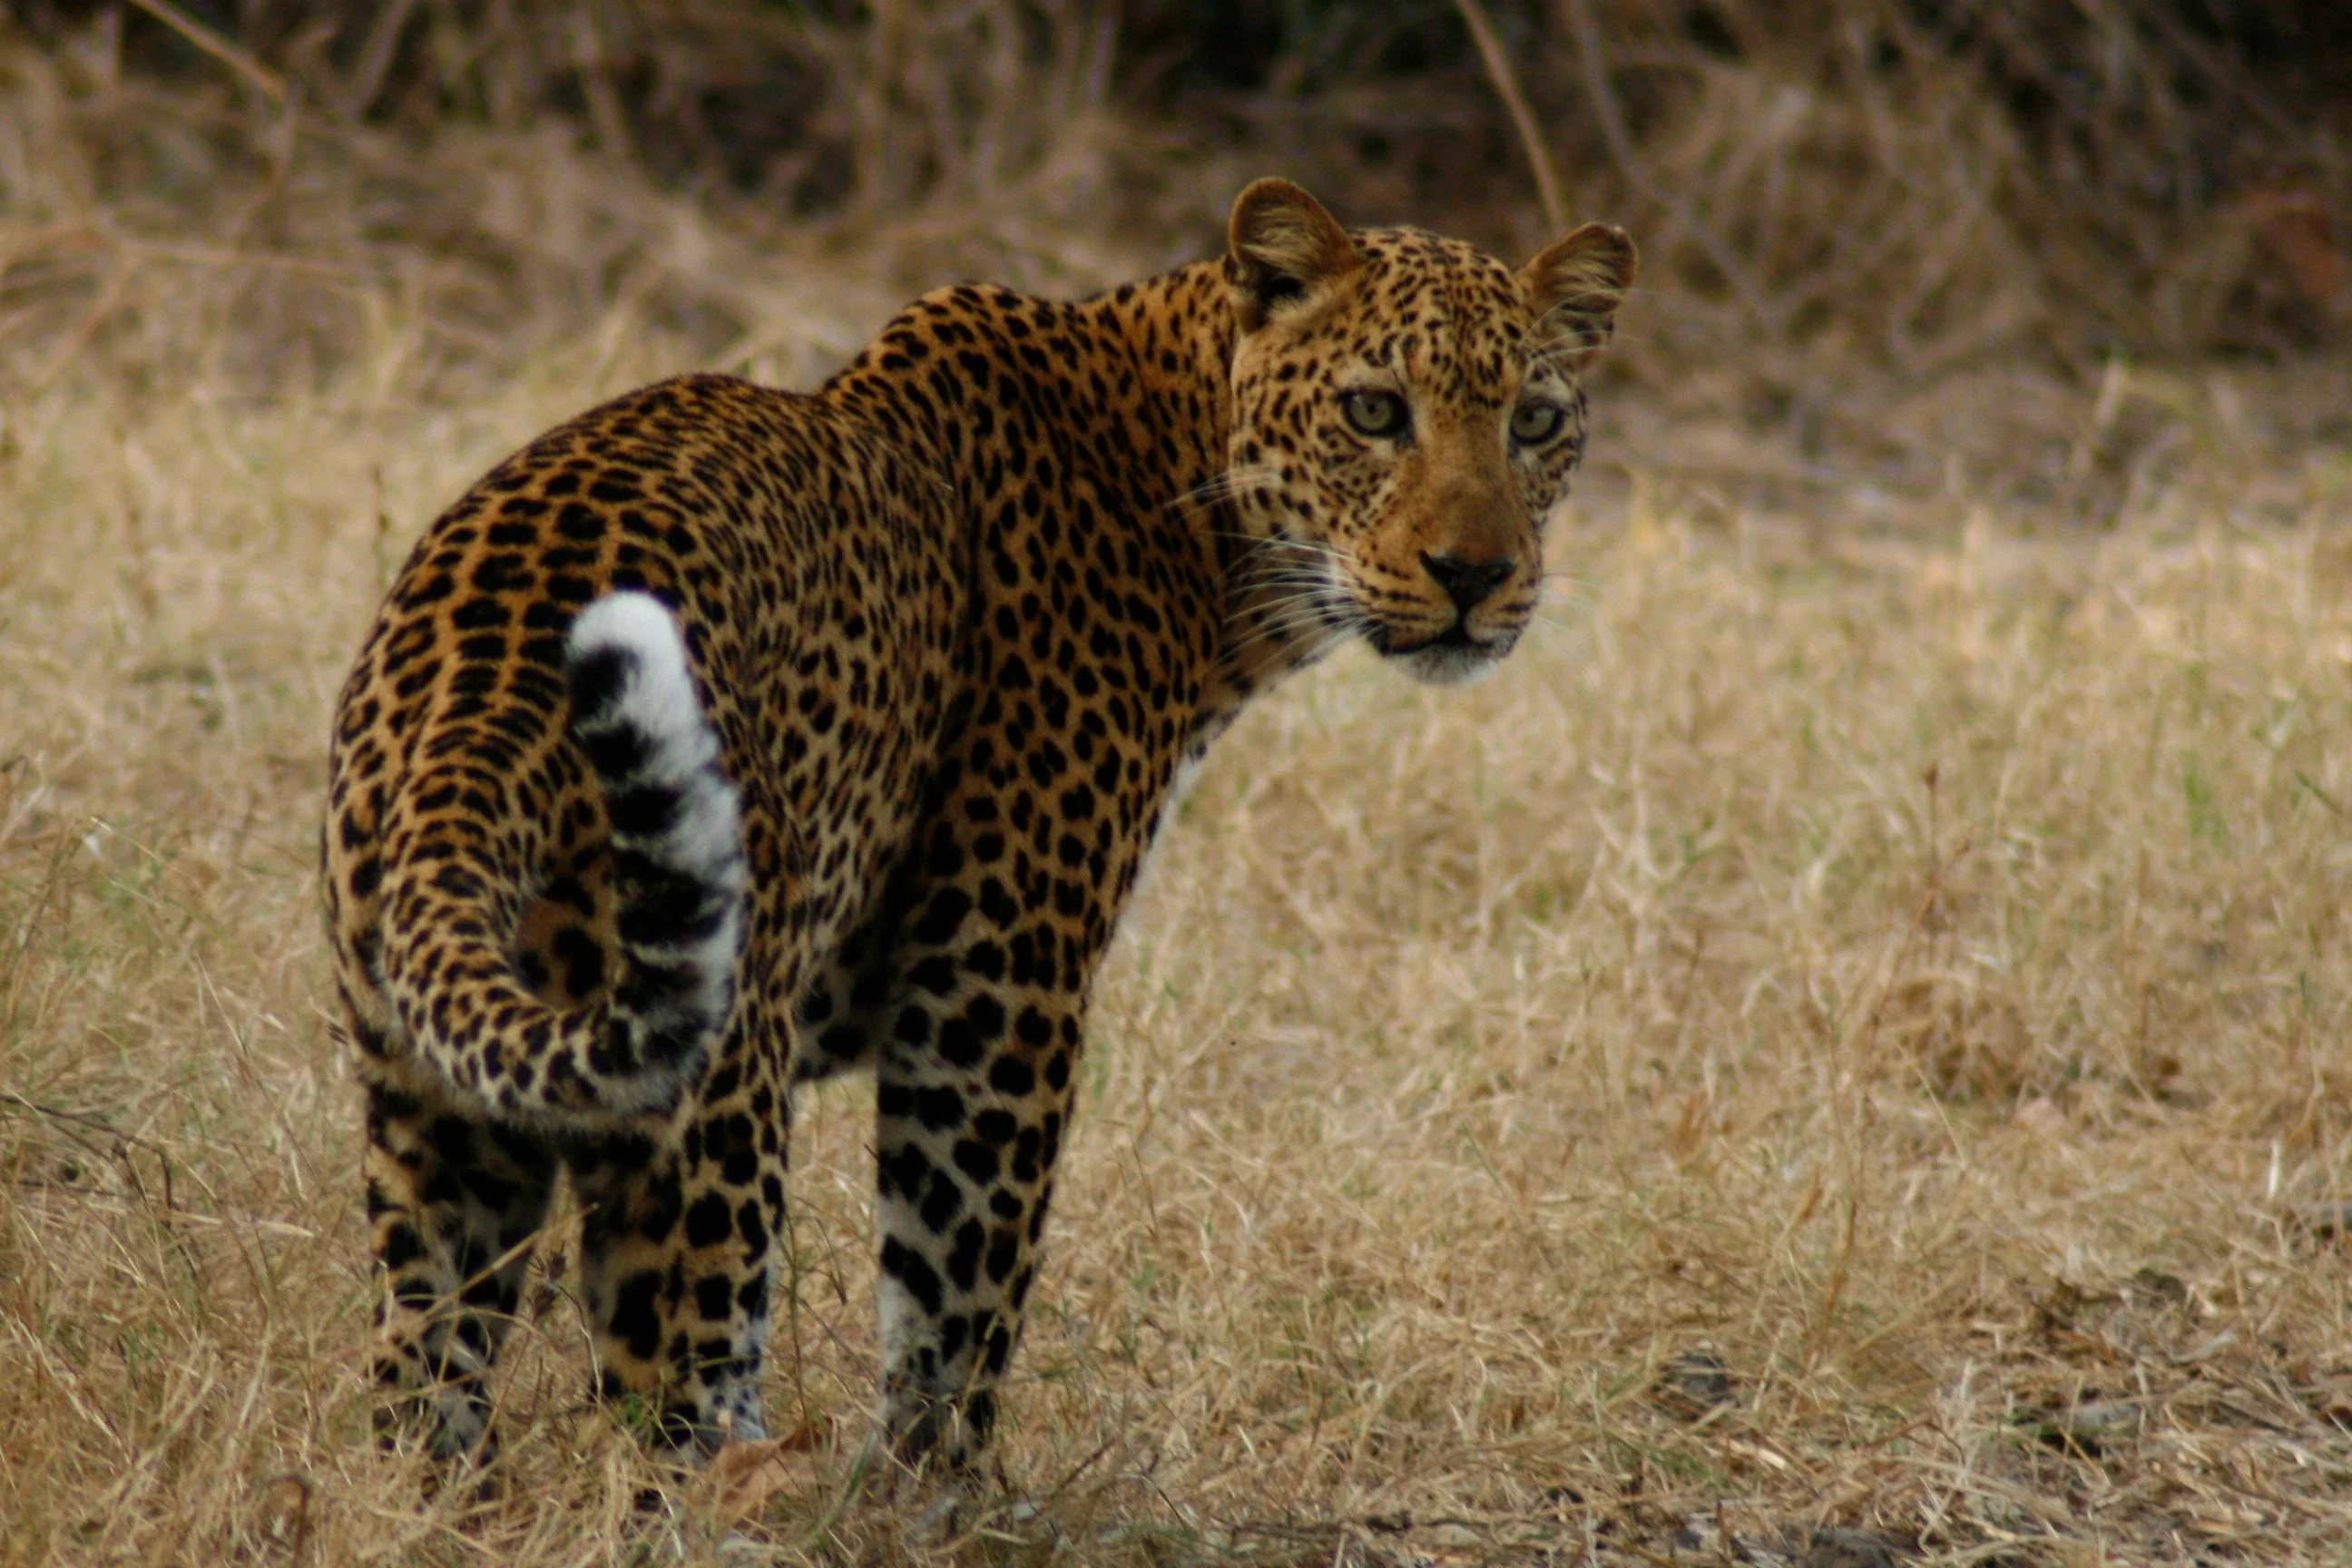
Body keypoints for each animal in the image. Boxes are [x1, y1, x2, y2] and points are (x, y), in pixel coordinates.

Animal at [322, 177, 1635, 1483]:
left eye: (1533, 423)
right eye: (1373, 411)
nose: (1476, 574)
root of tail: (474, 693)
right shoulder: (995, 988)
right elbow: (960, 1292)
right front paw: (944, 1495)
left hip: (434, 1102)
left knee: (420, 1382)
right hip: (708, 1103)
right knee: (673, 1410)